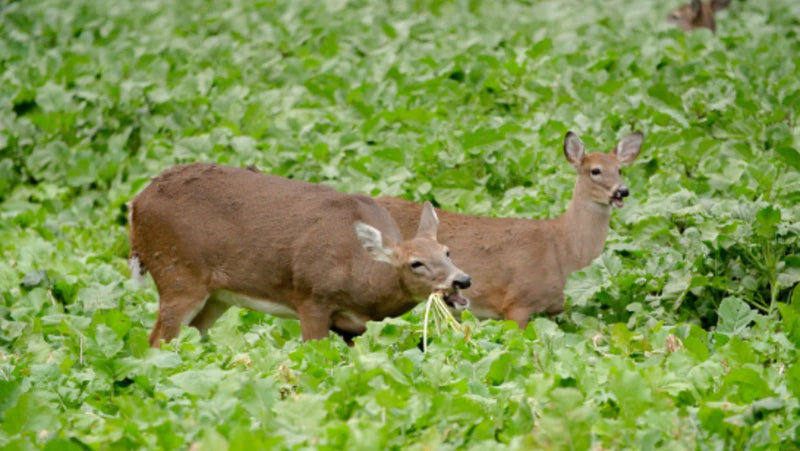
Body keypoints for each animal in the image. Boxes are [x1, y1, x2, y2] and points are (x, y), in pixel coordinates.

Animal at [128, 162, 472, 346]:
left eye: (447, 251)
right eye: (416, 263)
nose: (462, 280)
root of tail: (135, 204)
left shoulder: (353, 327)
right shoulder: (311, 298)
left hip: (217, 296)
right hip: (178, 273)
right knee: (156, 341)